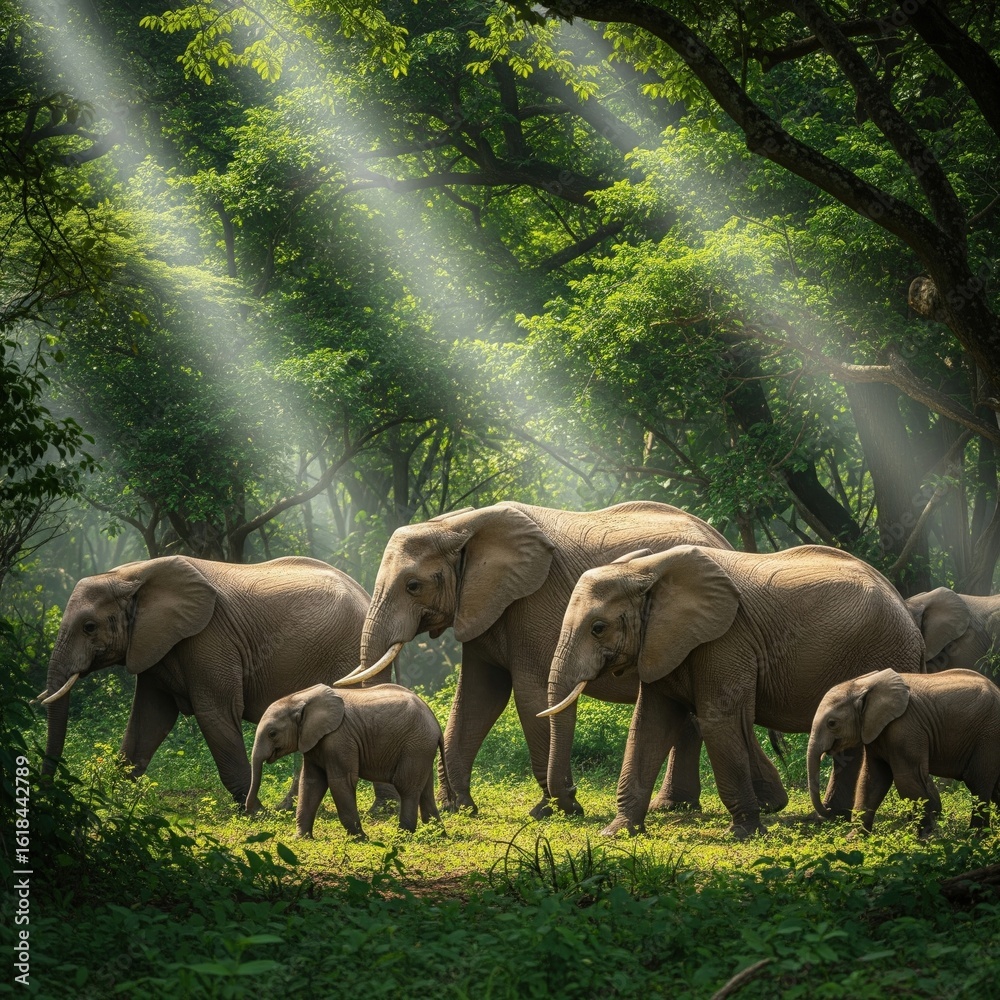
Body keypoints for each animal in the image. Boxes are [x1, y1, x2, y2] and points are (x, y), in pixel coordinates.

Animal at [36, 555, 380, 806]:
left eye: (89, 627)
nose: (45, 792)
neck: (131, 574)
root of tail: (364, 592)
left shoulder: (208, 638)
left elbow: (215, 713)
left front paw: (254, 812)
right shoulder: (155, 646)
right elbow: (151, 717)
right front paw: (109, 800)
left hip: (346, 652)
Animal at [246, 683, 449, 839]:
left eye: (272, 734)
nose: (251, 812)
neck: (301, 698)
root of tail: (436, 724)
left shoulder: (339, 738)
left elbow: (340, 781)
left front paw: (361, 839)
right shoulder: (314, 741)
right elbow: (311, 783)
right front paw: (300, 839)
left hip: (416, 745)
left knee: (406, 786)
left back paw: (402, 837)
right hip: (422, 748)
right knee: (425, 789)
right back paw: (438, 835)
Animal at [334, 501, 785, 820]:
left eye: (413, 586)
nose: (572, 795)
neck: (458, 525)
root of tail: (725, 542)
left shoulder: (531, 601)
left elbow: (529, 694)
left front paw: (549, 811)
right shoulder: (484, 603)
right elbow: (479, 697)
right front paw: (459, 808)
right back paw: (674, 808)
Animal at [542, 544, 926, 840]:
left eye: (598, 628)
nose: (574, 798)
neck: (647, 571)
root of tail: (907, 612)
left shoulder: (726, 639)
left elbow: (718, 721)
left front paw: (744, 833)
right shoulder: (663, 643)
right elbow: (649, 725)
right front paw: (617, 832)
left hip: (886, 650)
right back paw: (828, 817)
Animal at [808, 668, 1000, 838]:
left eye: (832, 723)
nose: (829, 810)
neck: (863, 683)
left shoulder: (904, 727)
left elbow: (906, 778)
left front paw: (926, 839)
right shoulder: (876, 731)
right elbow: (872, 778)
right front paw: (854, 838)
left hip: (988, 736)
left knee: (977, 782)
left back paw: (975, 837)